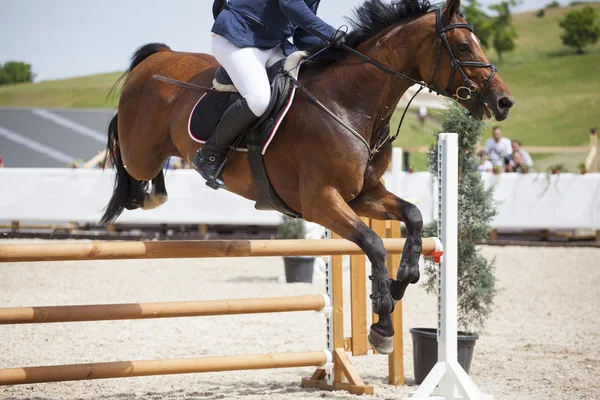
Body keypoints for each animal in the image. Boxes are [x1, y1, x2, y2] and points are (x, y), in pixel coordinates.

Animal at [101, 0, 512, 356]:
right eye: (463, 45)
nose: (504, 102)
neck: (352, 102)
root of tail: (157, 56)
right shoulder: (320, 201)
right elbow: (374, 244)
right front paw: (382, 323)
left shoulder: (364, 195)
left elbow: (413, 215)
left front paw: (404, 276)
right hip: (141, 151)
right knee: (124, 151)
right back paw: (141, 196)